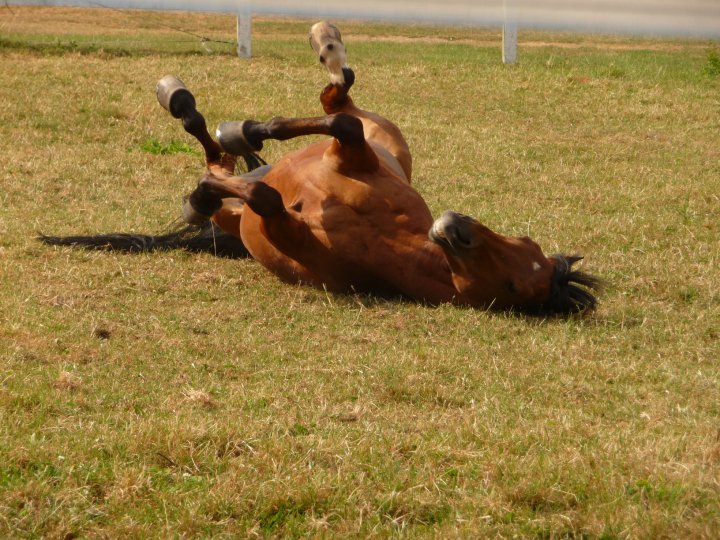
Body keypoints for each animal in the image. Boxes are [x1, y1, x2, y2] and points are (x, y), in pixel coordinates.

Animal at [41, 22, 599, 315]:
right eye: (524, 241)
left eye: (516, 287)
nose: (454, 227)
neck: (388, 239)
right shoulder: (352, 153)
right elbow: (333, 124)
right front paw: (248, 133)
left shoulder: (278, 225)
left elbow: (263, 196)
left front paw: (197, 196)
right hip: (385, 136)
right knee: (336, 96)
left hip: (238, 209)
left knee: (219, 161)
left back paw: (206, 158)